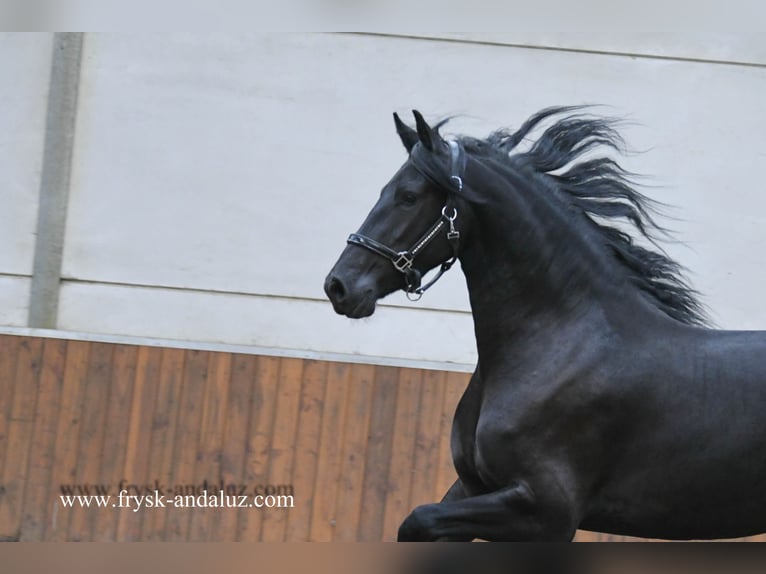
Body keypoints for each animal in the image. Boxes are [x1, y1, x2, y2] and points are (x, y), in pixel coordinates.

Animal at [324, 107, 766, 541]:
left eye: (408, 197)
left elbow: (419, 519)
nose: (339, 286)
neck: (557, 345)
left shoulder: (546, 512)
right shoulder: (471, 486)